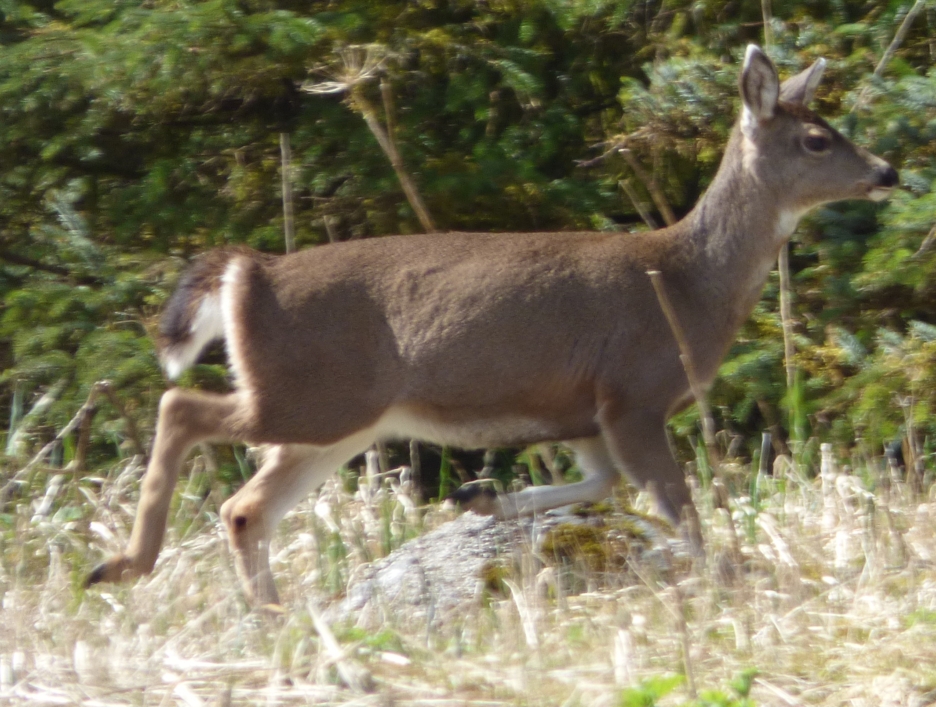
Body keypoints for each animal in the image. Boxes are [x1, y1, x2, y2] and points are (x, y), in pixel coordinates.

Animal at [88, 47, 900, 604]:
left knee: (244, 507)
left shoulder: (581, 412)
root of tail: (249, 270)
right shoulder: (634, 390)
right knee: (181, 406)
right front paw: (722, 587)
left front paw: (476, 499)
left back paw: (270, 614)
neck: (685, 283)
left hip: (341, 417)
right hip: (313, 395)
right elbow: (681, 510)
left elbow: (601, 485)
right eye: (818, 140)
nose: (887, 172)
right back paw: (125, 564)